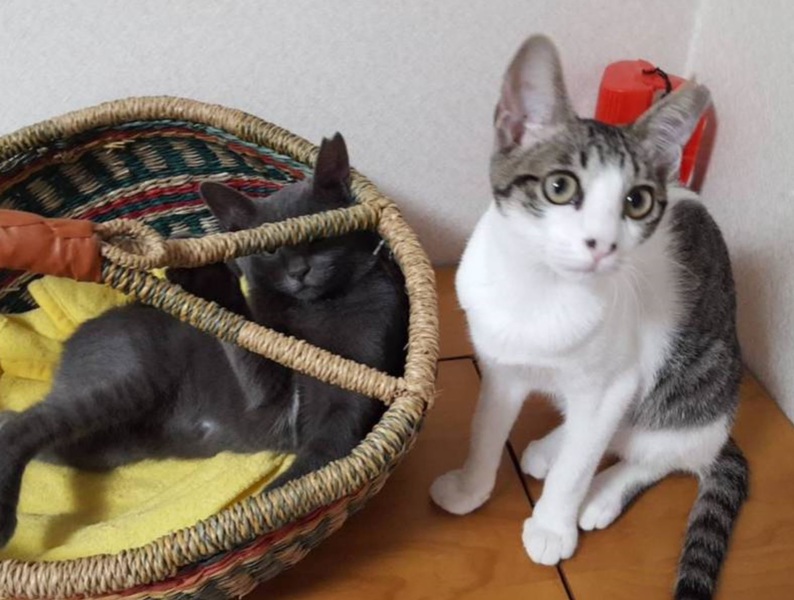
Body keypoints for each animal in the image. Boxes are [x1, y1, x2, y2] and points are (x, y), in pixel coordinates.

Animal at [0, 133, 408, 548]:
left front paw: (267, 505)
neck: (316, 310)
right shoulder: (268, 393)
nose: (299, 271)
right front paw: (202, 276)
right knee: (27, 423)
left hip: (107, 443)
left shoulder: (348, 398)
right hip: (127, 379)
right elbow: (244, 337)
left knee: (24, 424)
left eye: (320, 235)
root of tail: (74, 339)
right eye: (269, 249)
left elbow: (317, 459)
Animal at [430, 36, 747, 600]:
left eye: (637, 201)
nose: (603, 245)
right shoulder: (501, 368)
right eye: (559, 187)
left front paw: (552, 526)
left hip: (696, 384)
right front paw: (471, 487)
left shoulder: (619, 379)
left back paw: (600, 495)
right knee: (606, 432)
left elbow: (579, 464)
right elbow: (486, 428)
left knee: (663, 450)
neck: (538, 292)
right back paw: (551, 448)